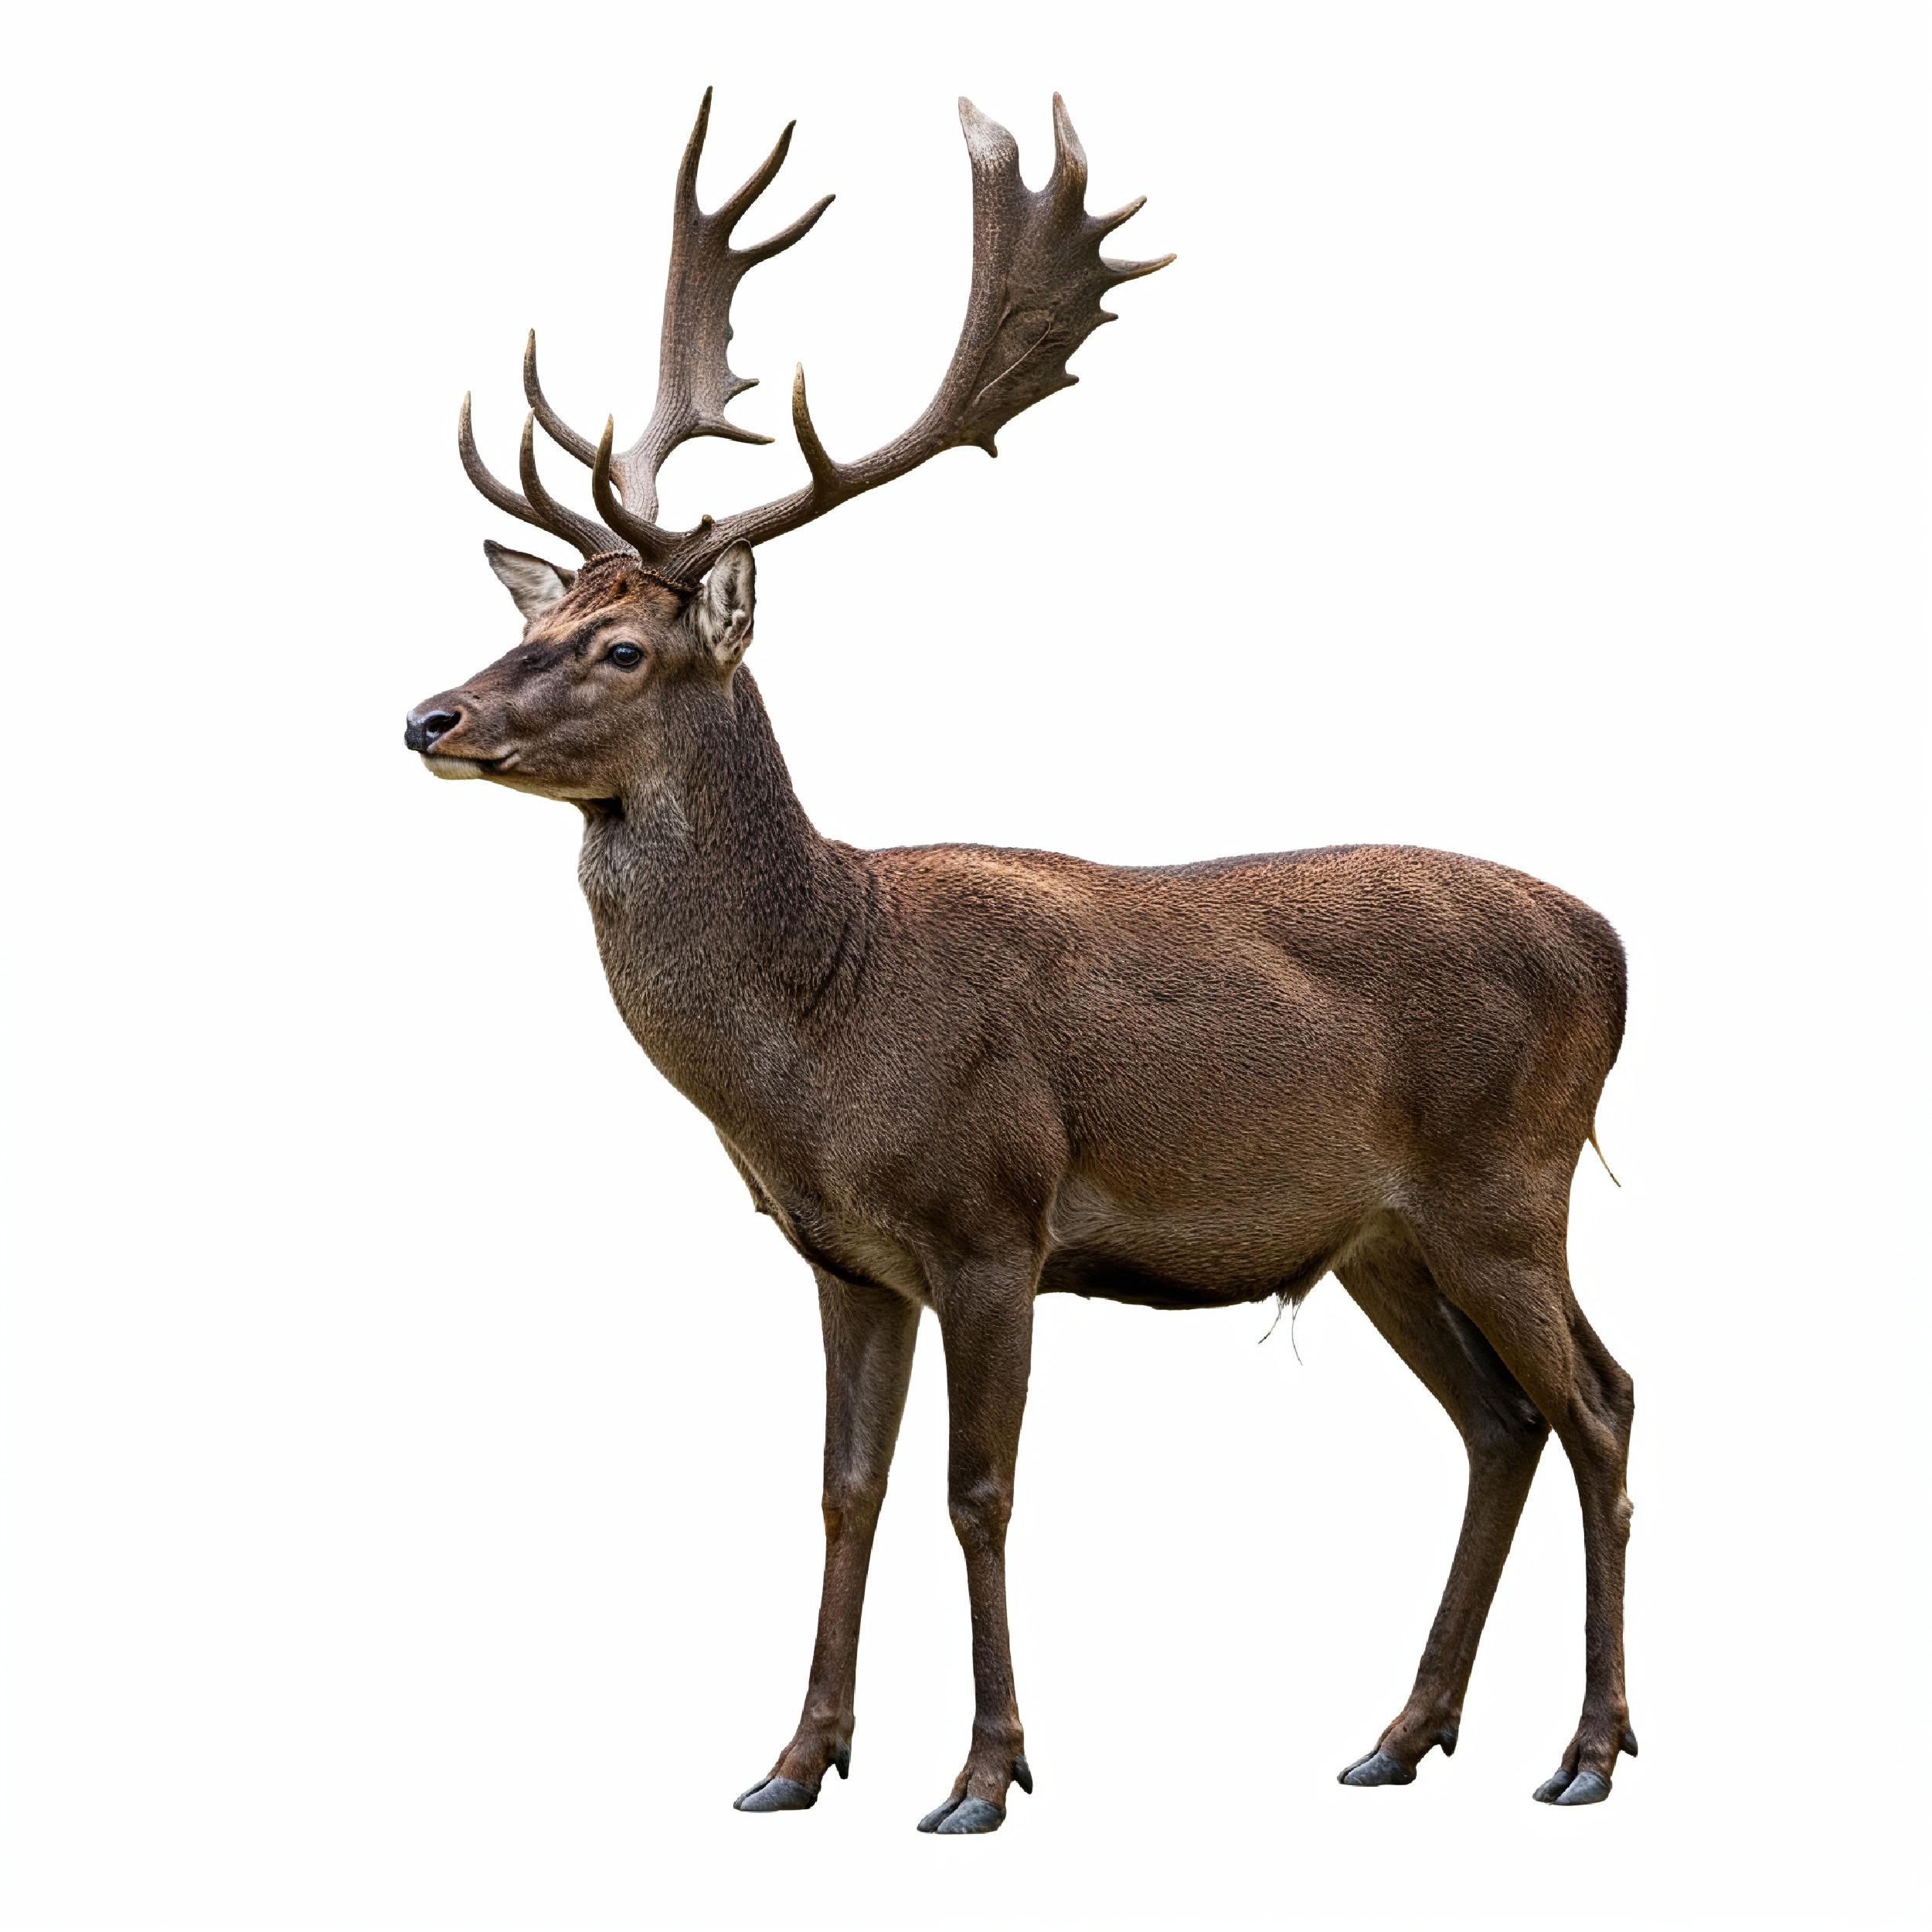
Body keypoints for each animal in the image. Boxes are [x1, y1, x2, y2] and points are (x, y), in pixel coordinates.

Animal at [404, 90, 1637, 1833]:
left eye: (621, 646)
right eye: (535, 618)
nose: (429, 715)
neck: (819, 1033)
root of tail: (1614, 942)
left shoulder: (992, 1215)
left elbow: (976, 1491)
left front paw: (984, 1774)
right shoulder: (842, 1254)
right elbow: (844, 1489)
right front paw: (795, 1760)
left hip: (1504, 1182)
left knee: (1599, 1403)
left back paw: (1587, 1748)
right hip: (1380, 1234)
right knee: (1502, 1421)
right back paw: (1399, 1733)